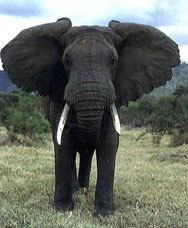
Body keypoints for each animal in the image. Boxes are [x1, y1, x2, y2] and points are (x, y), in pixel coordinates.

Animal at [0, 16, 181, 216]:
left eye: (113, 61)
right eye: (66, 61)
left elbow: (109, 142)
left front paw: (104, 214)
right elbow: (63, 142)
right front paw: (63, 209)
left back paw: (84, 189)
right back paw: (77, 190)